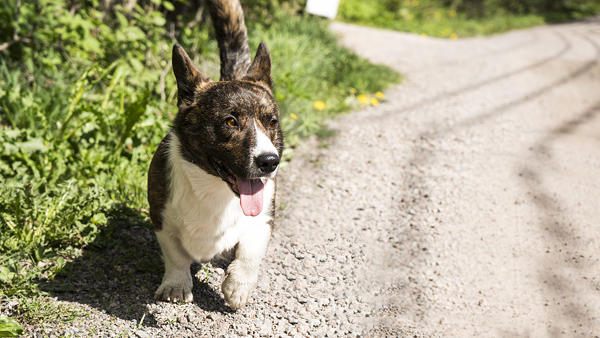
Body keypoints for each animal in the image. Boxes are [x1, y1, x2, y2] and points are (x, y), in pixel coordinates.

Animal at [148, 0, 284, 308]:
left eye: (272, 123)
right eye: (230, 122)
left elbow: (251, 251)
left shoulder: (264, 218)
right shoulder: (161, 218)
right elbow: (175, 255)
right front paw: (176, 286)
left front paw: (238, 287)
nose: (270, 162)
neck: (216, 189)